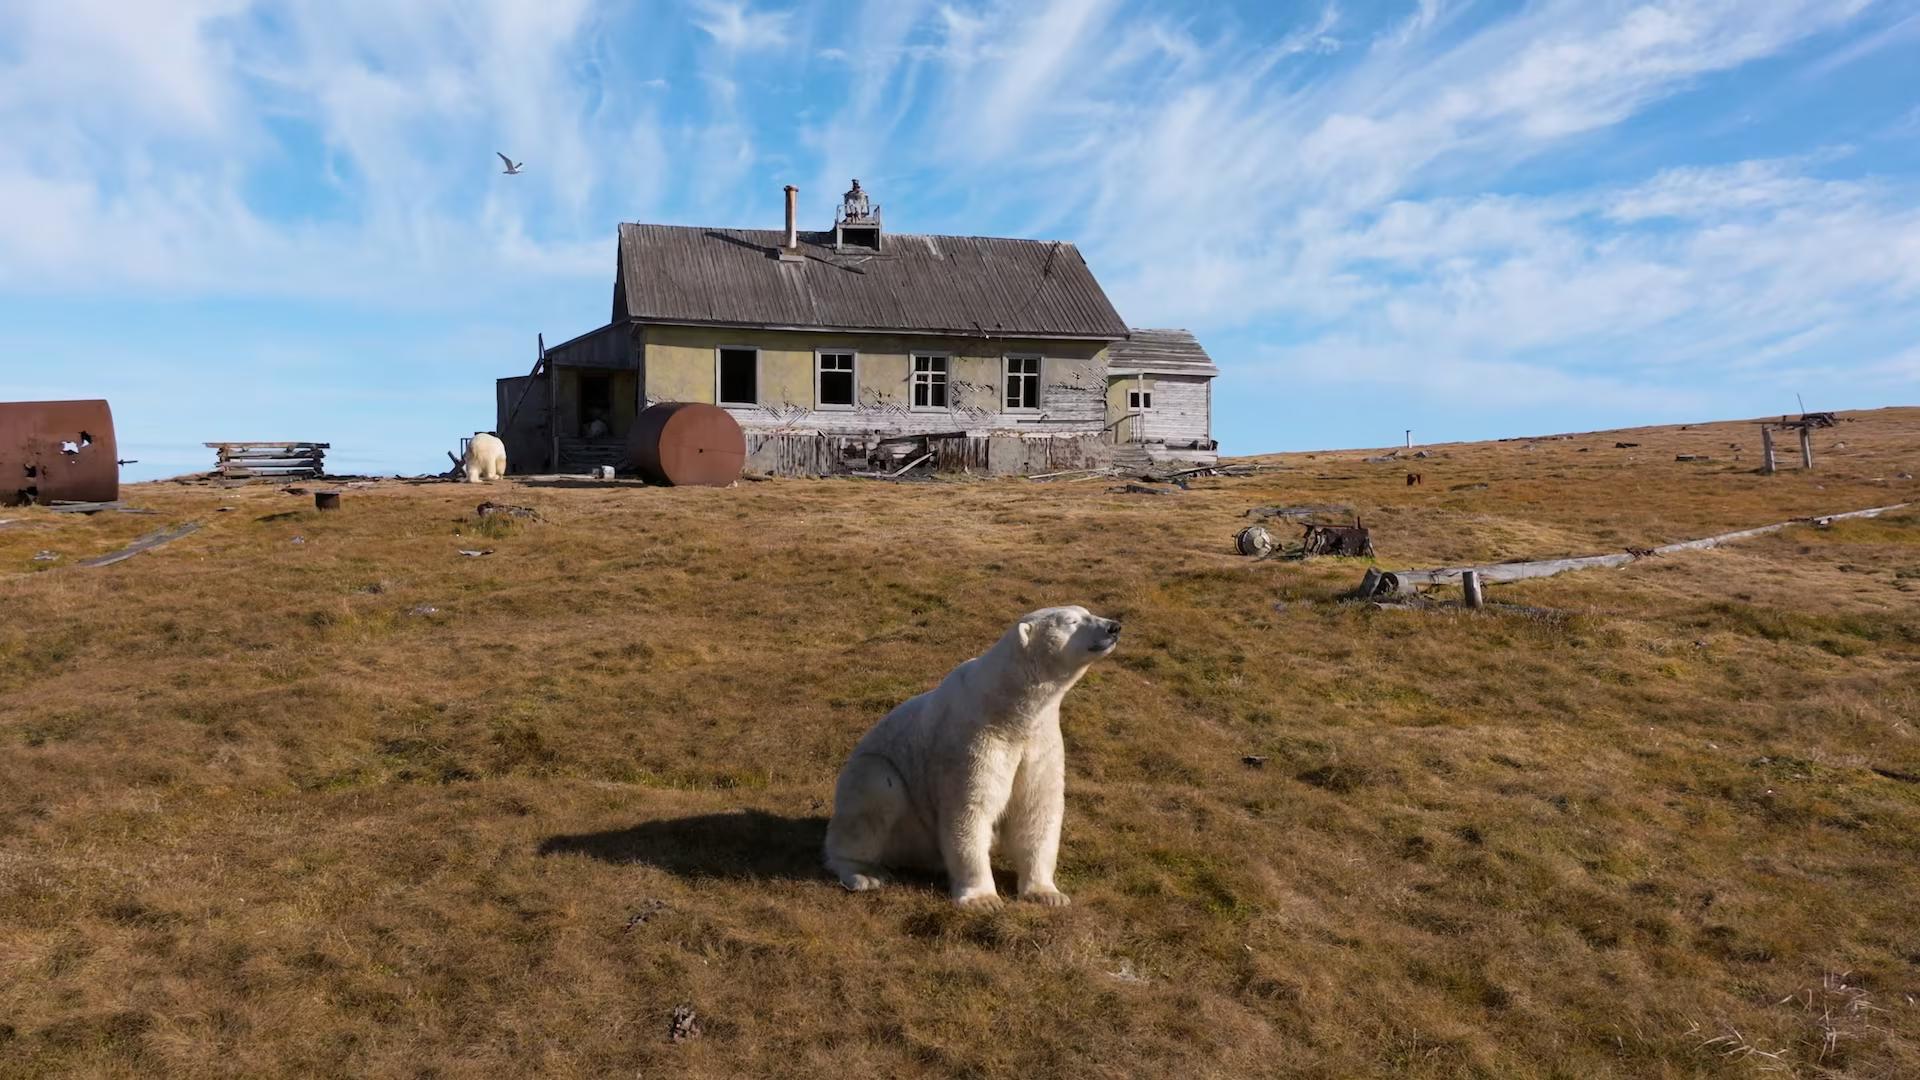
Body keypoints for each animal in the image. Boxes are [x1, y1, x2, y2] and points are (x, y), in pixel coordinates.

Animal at [823, 605, 1122, 910]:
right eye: (1072, 621)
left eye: (1086, 611)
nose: (1114, 627)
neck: (1008, 707)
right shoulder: (973, 736)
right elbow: (970, 808)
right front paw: (984, 900)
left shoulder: (1040, 739)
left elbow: (1036, 807)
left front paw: (1048, 894)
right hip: (877, 786)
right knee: (874, 795)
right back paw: (864, 874)